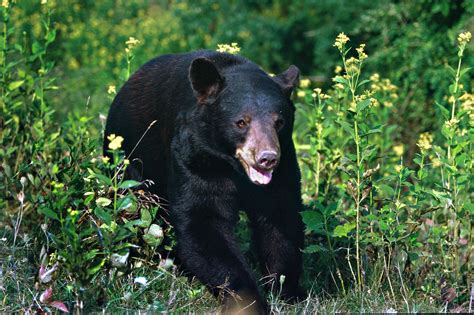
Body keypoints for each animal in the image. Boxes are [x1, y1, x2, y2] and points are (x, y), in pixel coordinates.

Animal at [103, 51, 304, 314]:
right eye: (241, 122)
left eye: (279, 122)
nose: (267, 158)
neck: (232, 166)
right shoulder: (194, 158)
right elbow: (202, 221)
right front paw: (248, 301)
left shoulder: (284, 164)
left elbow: (280, 218)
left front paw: (287, 291)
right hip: (129, 162)